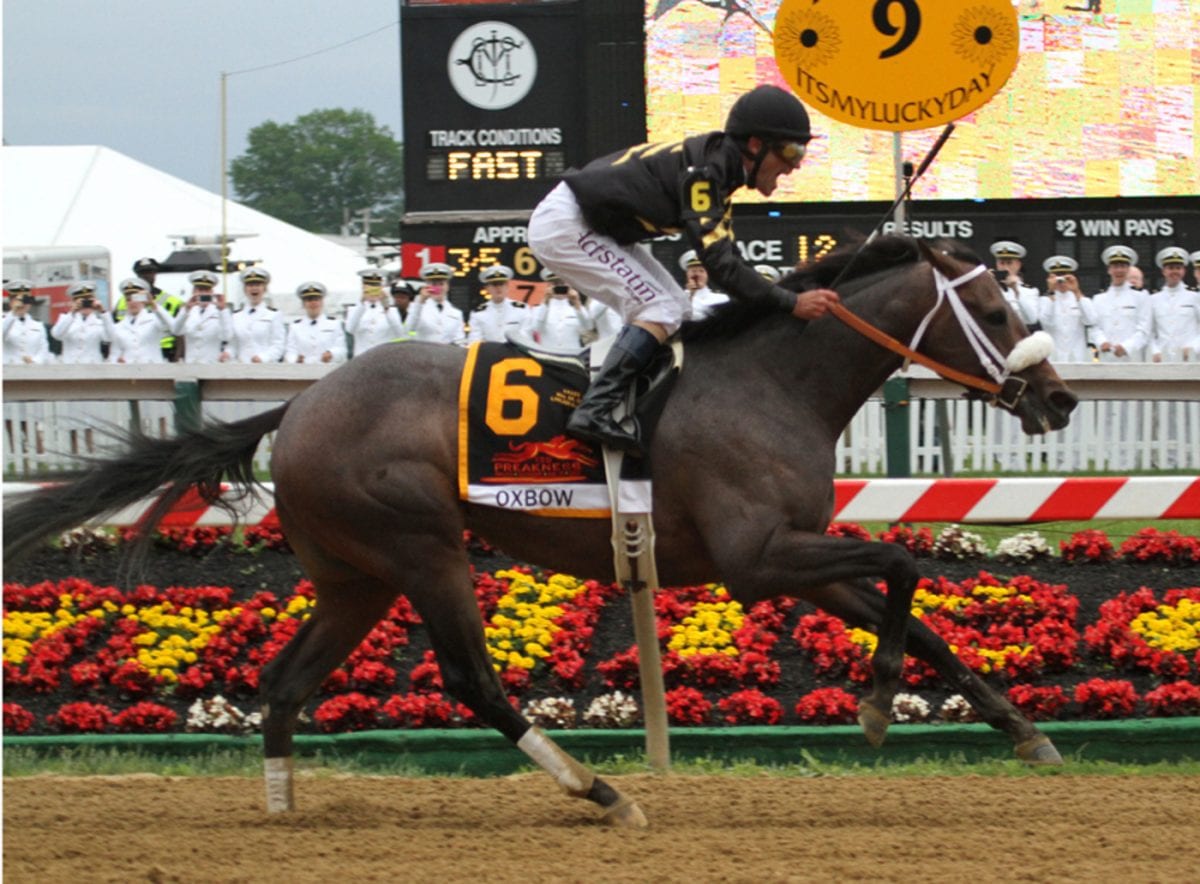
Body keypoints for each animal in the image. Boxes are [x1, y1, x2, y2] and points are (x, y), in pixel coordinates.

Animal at [2, 232, 1080, 820]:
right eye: (992, 308)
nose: (1060, 399)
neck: (771, 383)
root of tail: (298, 406)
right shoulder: (757, 559)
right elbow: (902, 558)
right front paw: (879, 703)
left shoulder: (797, 556)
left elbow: (921, 612)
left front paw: (1025, 732)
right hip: (421, 548)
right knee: (471, 680)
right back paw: (601, 792)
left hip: (356, 576)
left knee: (284, 682)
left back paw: (281, 808)